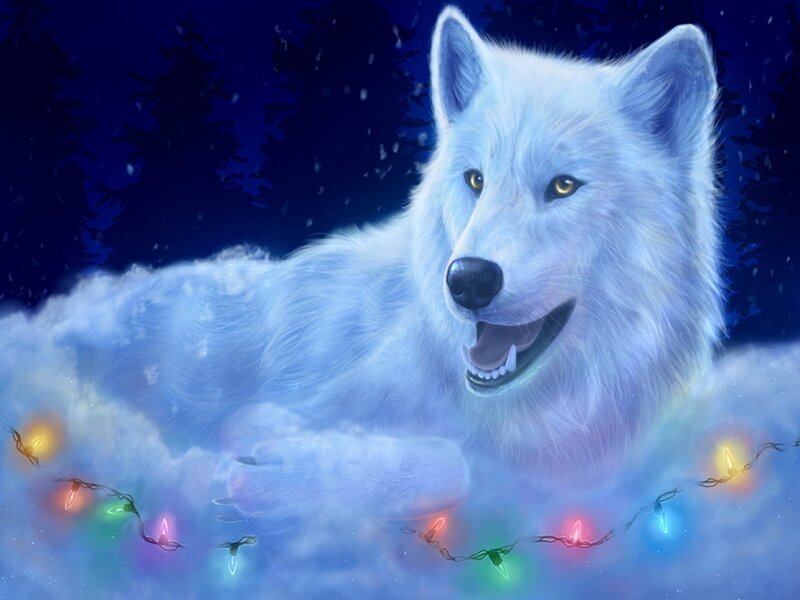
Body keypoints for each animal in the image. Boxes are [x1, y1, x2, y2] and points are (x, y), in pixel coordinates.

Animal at [2, 6, 798, 598]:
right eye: (475, 180)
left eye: (564, 186)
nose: (466, 280)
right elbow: (449, 464)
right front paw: (269, 454)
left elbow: (460, 467)